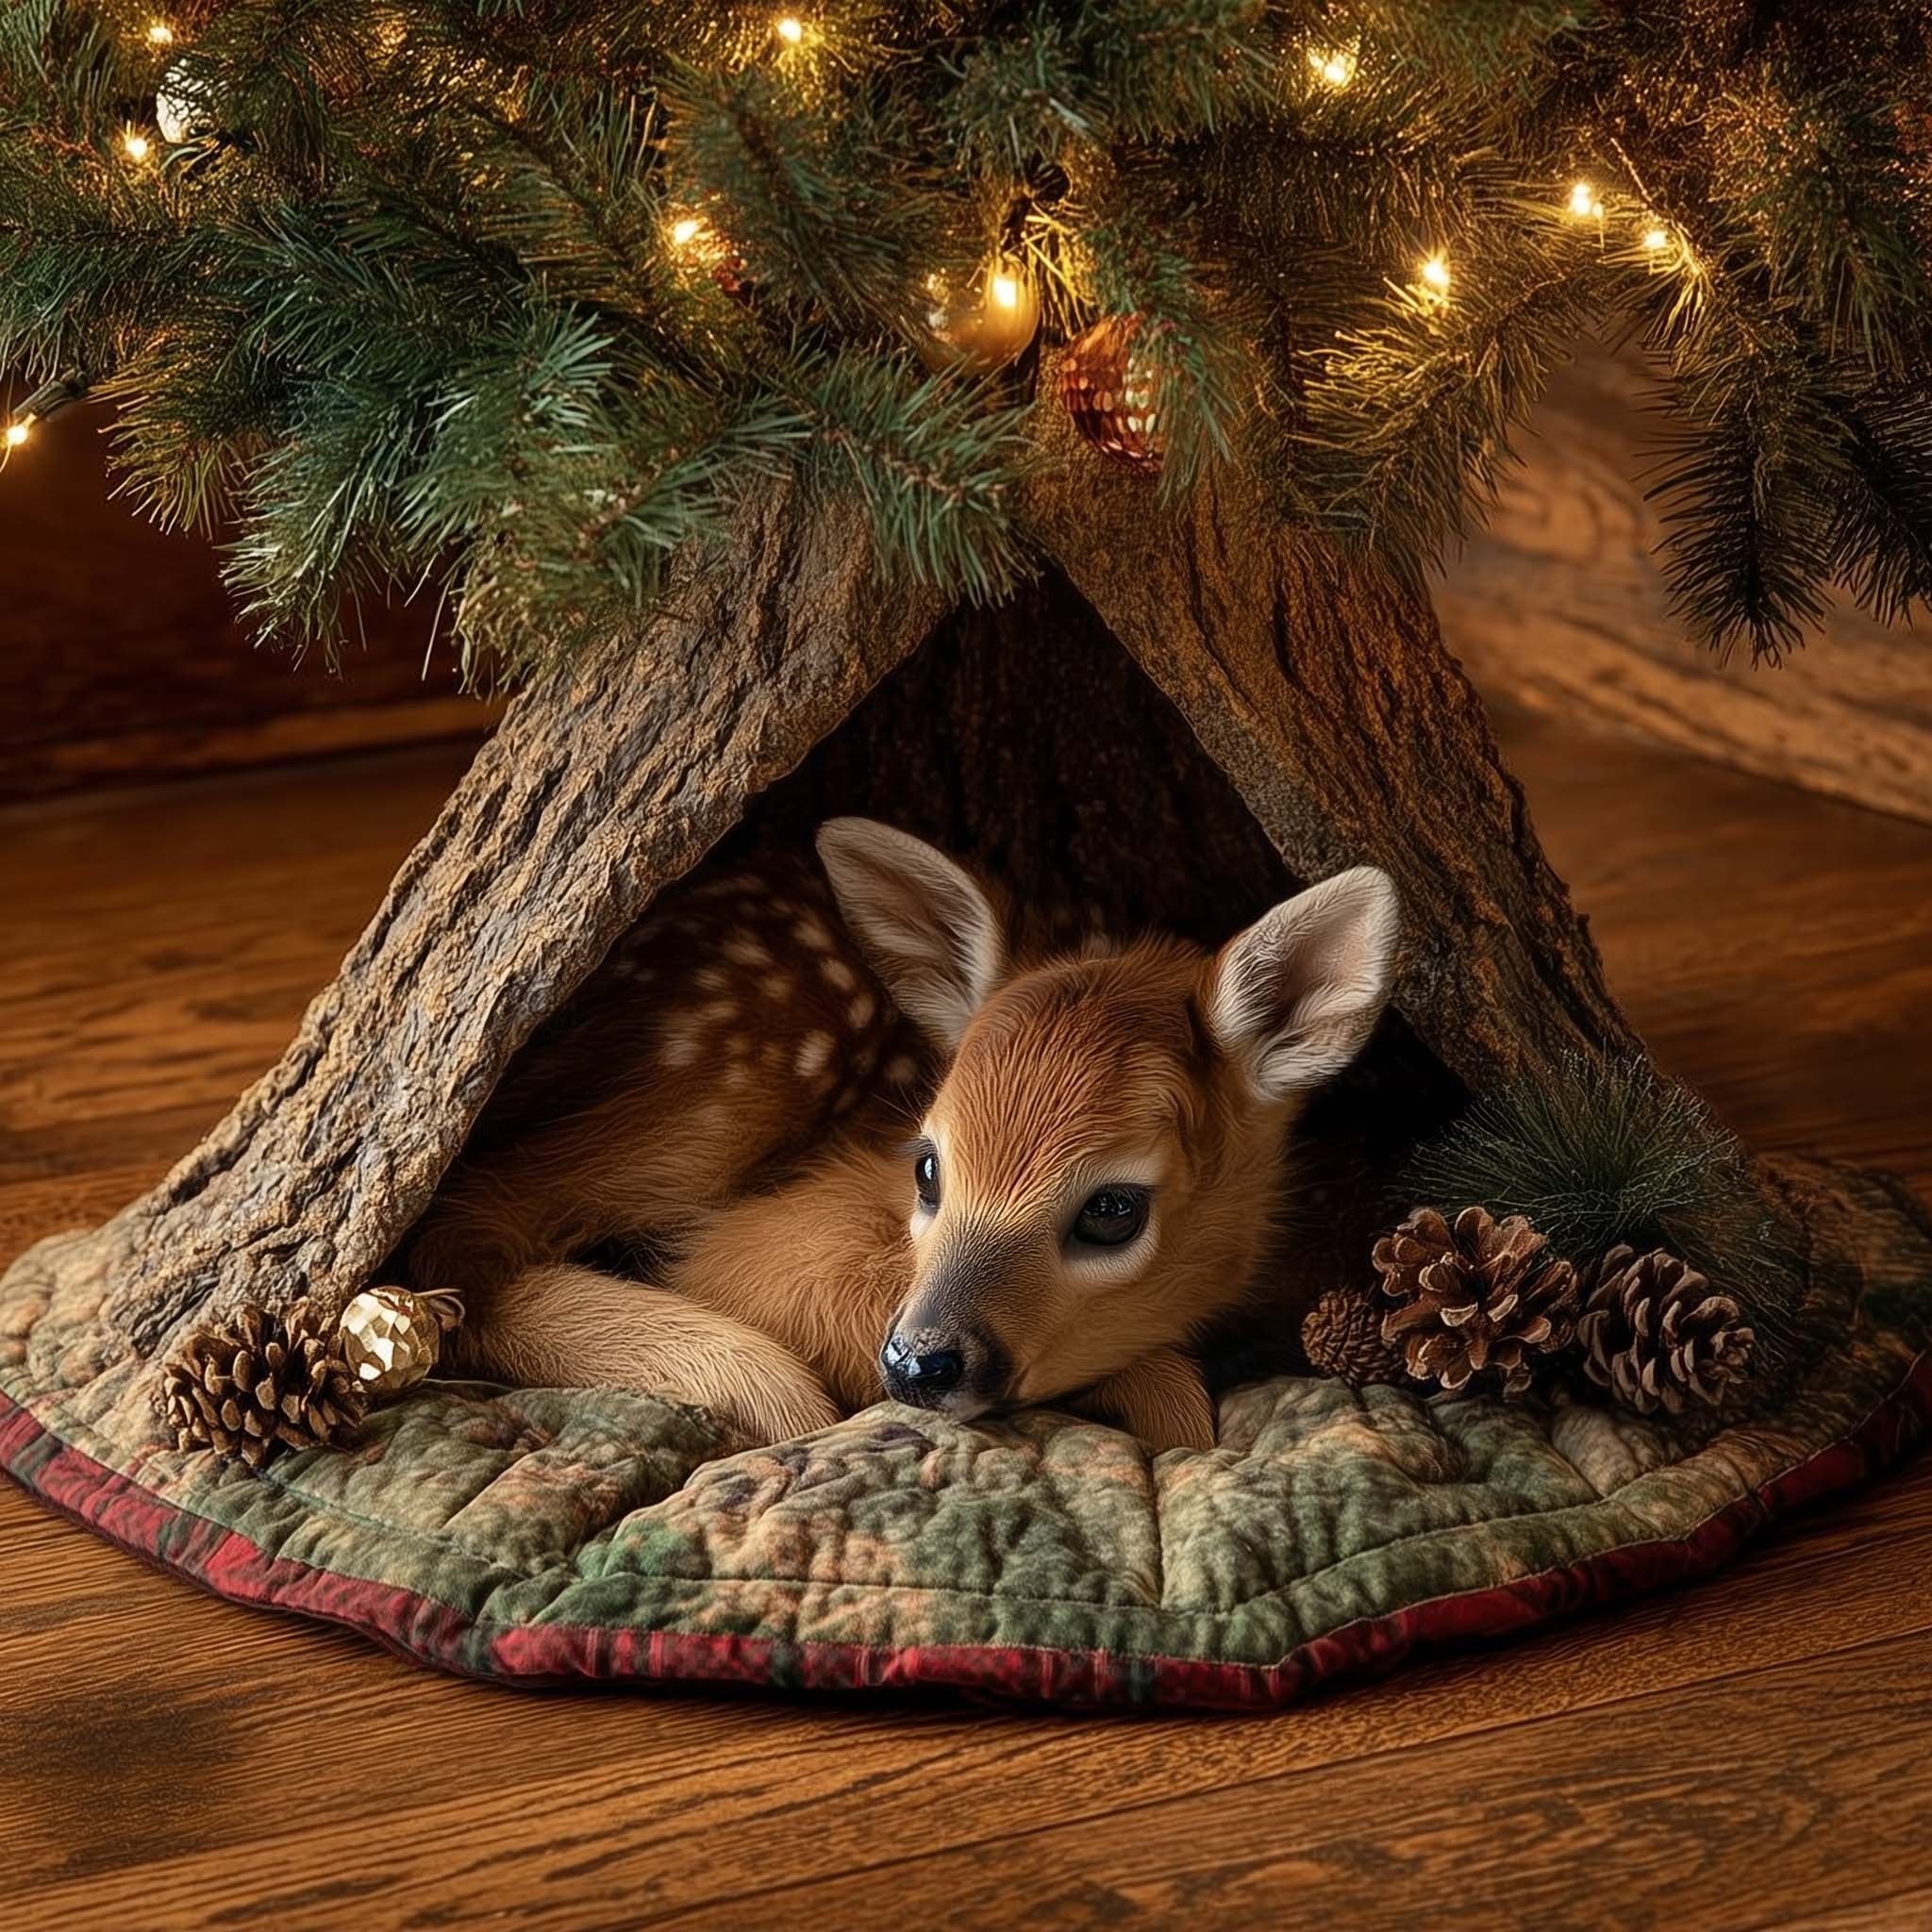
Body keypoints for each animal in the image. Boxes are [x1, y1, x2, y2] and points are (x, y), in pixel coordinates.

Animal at [407, 819, 1400, 1453]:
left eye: (1113, 1208)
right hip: (728, 1088)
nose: (918, 1361)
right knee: (467, 1224)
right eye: (927, 1167)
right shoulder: (768, 1257)